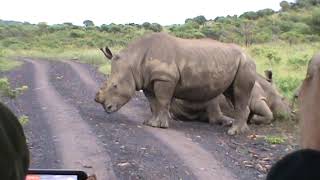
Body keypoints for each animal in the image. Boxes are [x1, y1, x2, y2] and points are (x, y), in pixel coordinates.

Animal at [94, 32, 255, 135]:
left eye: (115, 86)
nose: (107, 108)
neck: (134, 62)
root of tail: (249, 55)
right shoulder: (148, 81)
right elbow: (153, 102)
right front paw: (150, 123)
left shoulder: (165, 78)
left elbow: (162, 101)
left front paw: (160, 126)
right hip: (235, 62)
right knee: (232, 94)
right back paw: (243, 131)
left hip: (245, 64)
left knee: (239, 92)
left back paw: (233, 132)